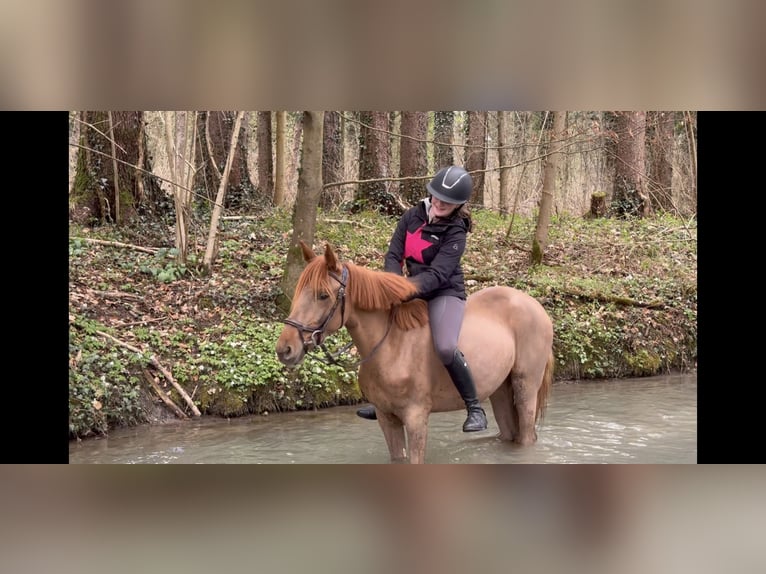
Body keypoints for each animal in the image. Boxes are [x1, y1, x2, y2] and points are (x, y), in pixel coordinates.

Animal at [275, 241, 555, 464]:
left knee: (526, 435)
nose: (285, 349)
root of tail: (535, 305)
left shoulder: (416, 418)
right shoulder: (387, 418)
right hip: (500, 391)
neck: (392, 346)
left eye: (323, 295)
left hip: (525, 387)